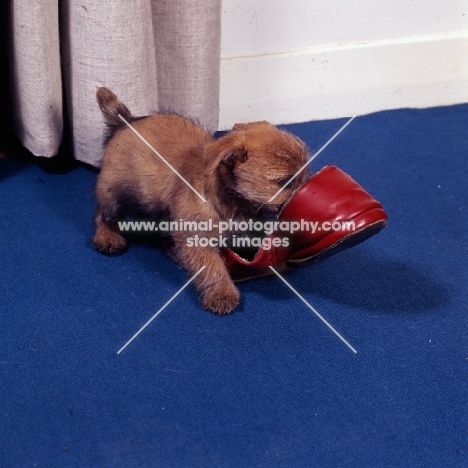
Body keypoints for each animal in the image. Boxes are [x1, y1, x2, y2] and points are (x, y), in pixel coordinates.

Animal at [93, 88, 308, 314]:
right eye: (286, 181)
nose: (306, 190)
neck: (229, 200)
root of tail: (125, 121)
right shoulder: (196, 239)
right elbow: (212, 265)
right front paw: (222, 293)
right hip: (112, 193)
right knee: (104, 213)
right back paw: (107, 237)